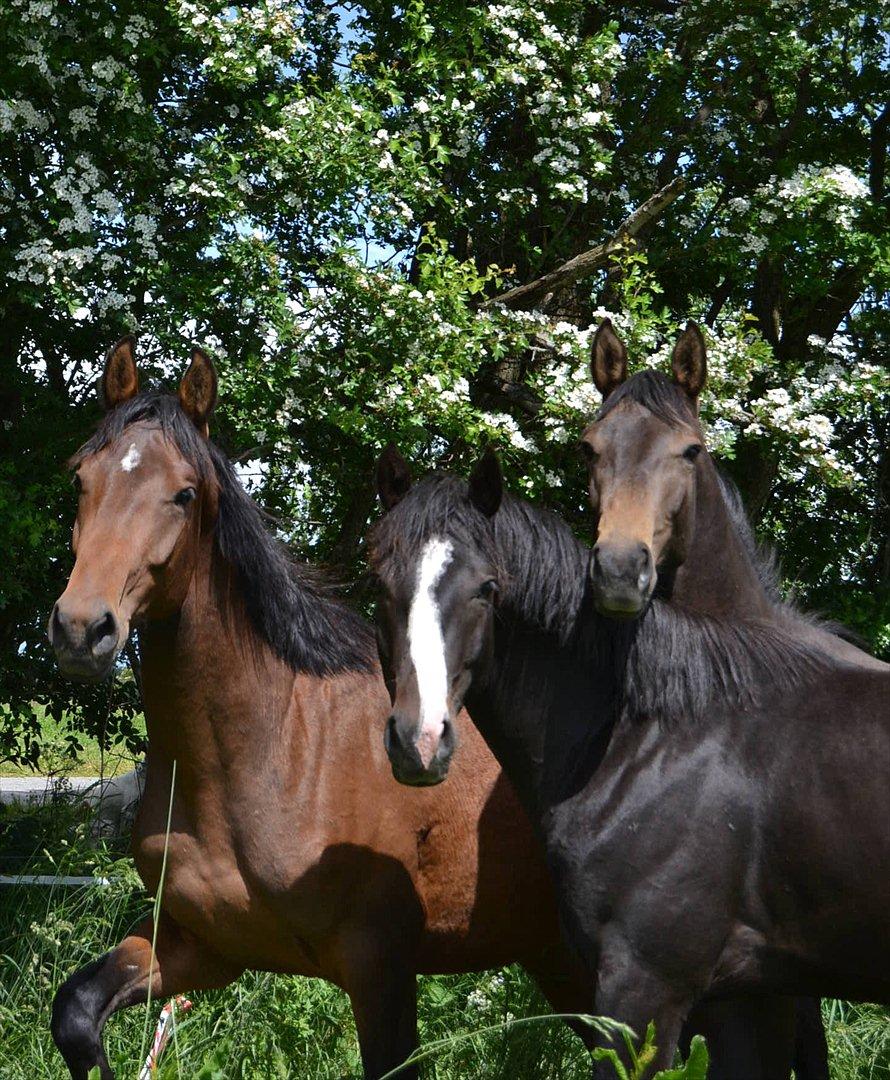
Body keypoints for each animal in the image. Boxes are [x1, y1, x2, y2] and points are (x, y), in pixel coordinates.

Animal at [46, 336, 591, 1080]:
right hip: (557, 956)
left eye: (184, 493)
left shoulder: (380, 970)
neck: (272, 749)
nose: (82, 629)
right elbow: (76, 1012)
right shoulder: (198, 946)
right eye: (81, 480)